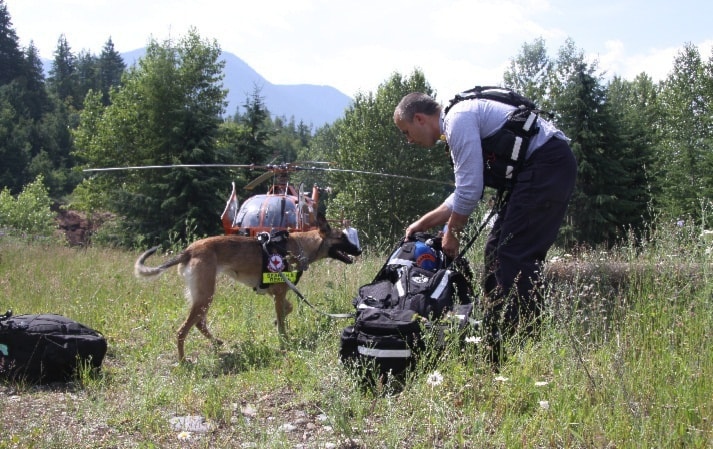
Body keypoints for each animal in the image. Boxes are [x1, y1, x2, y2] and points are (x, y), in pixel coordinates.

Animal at [132, 220, 362, 360]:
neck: (298, 246)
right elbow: (283, 325)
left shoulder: (277, 294)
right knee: (183, 330)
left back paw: (216, 343)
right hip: (206, 295)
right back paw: (183, 360)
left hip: (202, 296)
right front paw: (284, 343)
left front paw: (276, 321)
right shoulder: (279, 294)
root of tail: (188, 250)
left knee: (199, 323)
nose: (359, 251)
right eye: (342, 237)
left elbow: (287, 310)